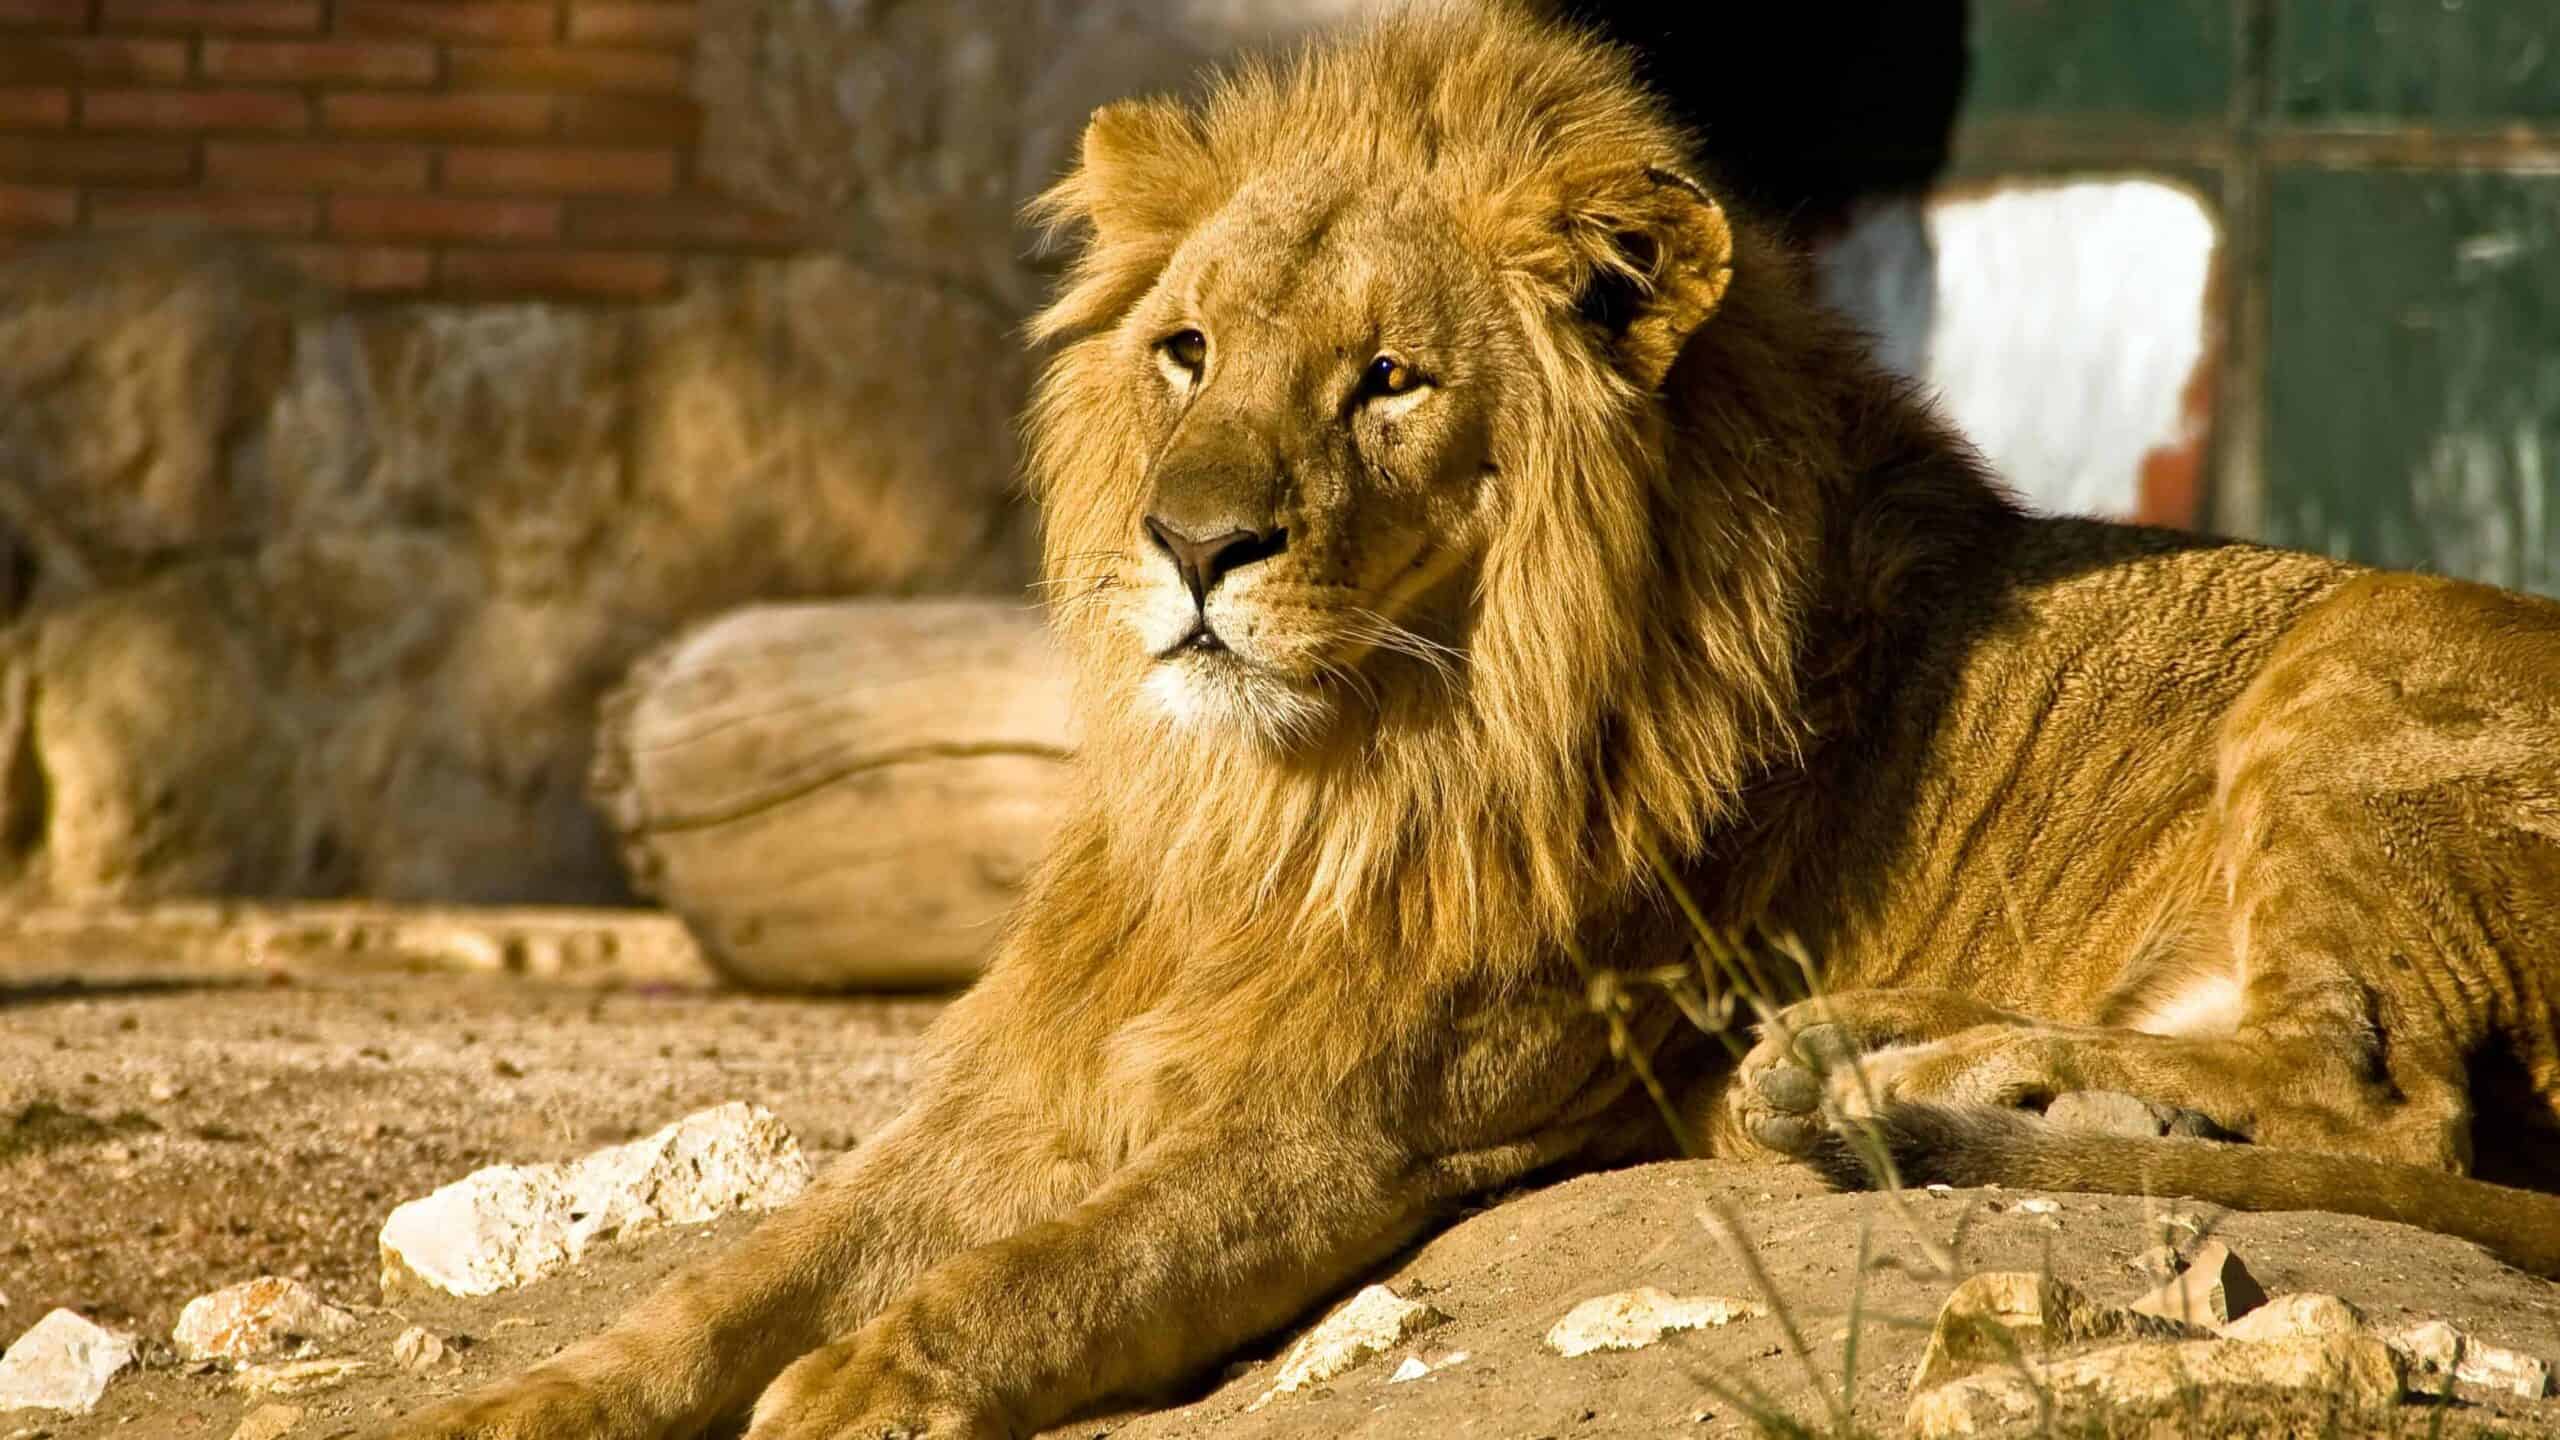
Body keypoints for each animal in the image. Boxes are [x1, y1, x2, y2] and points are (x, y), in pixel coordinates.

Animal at [391, 5, 2560, 1437]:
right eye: (1185, 352)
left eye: (1388, 382)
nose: (1192, 543)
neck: (1300, 785)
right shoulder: (1033, 1081)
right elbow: (742, 1271)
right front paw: (532, 1408)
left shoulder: (1366, 1117)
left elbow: (1072, 1262)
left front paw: (871, 1384)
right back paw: (1891, 1069)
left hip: (2350, 681)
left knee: (2387, 1100)